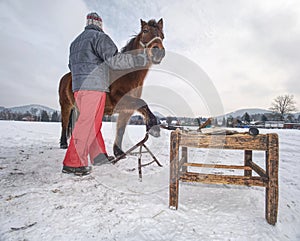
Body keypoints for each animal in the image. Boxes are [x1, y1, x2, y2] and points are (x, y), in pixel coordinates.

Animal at [57, 19, 165, 158]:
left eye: (162, 36)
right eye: (145, 30)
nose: (158, 51)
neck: (125, 74)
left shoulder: (127, 109)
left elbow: (121, 129)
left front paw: (118, 152)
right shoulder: (120, 99)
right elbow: (143, 104)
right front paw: (154, 127)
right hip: (65, 106)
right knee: (64, 123)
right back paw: (64, 144)